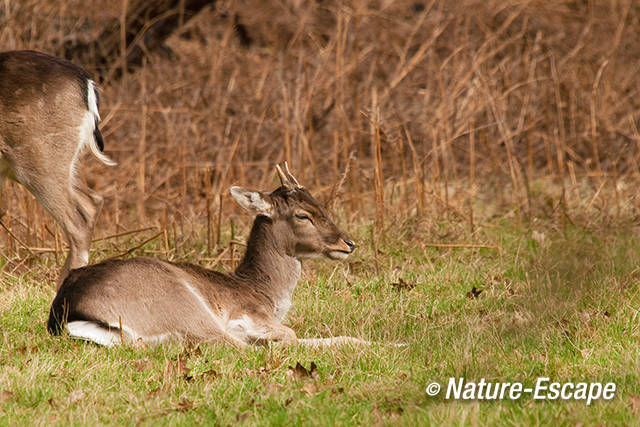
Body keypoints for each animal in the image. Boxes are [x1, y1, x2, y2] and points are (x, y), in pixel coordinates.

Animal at [50, 166, 372, 350]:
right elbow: (289, 335)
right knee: (235, 347)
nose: (349, 243)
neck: (265, 295)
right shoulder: (245, 313)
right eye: (303, 215)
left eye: (321, 205)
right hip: (184, 306)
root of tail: (68, 311)